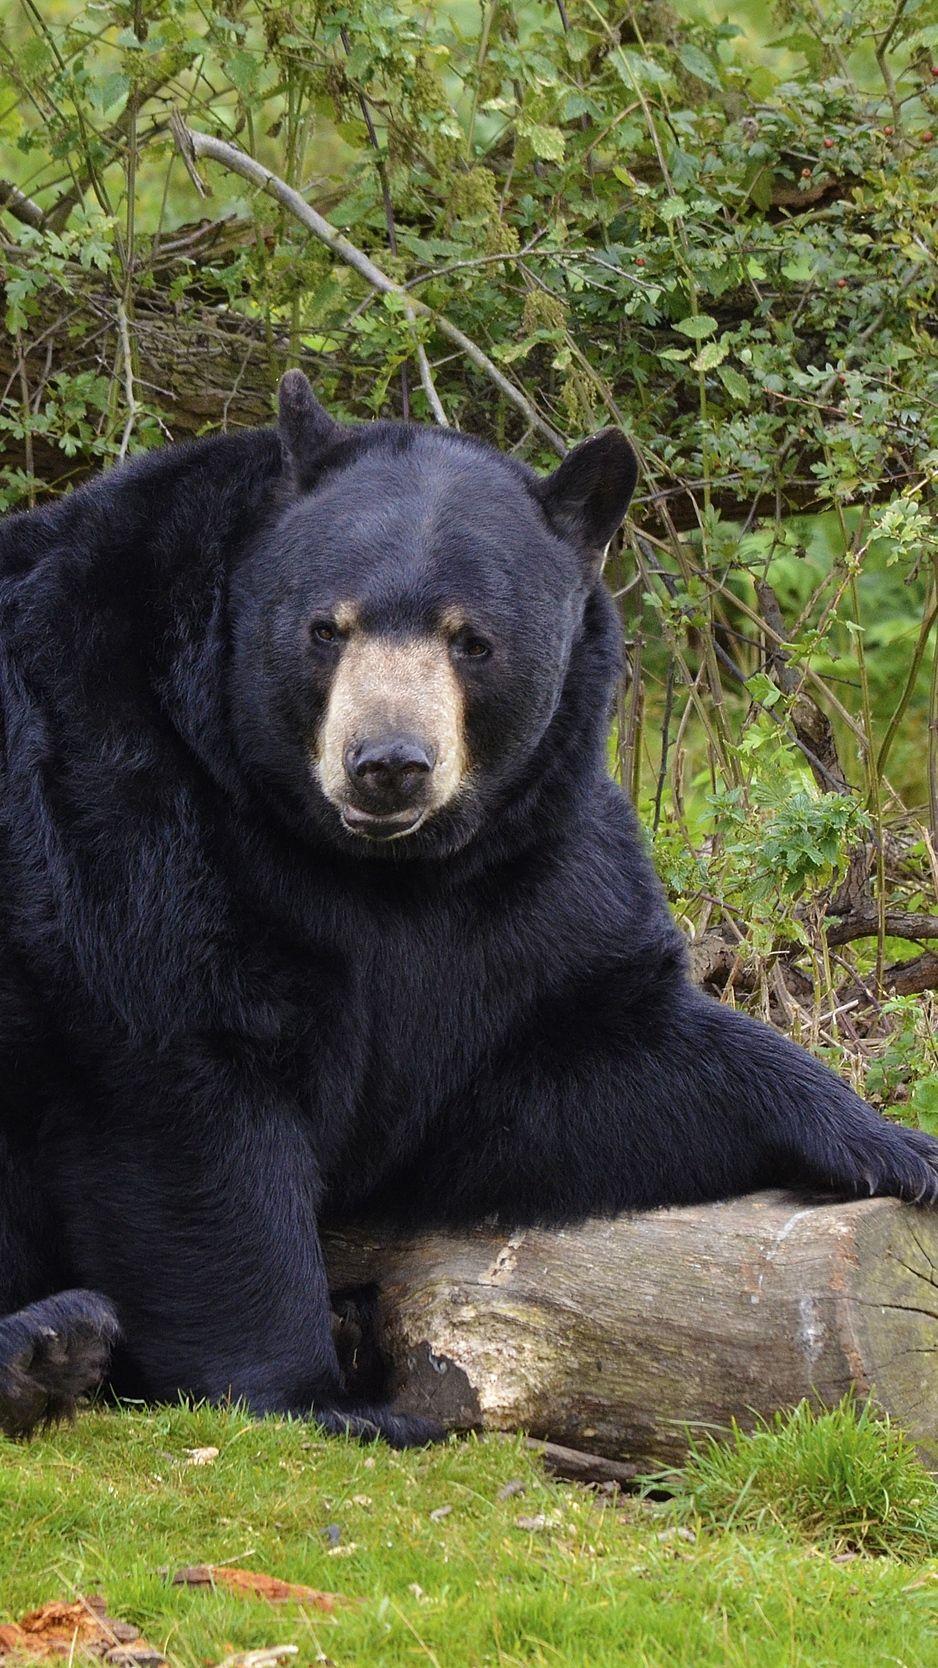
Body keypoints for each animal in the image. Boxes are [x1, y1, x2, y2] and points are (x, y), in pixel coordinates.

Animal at [0, 369, 935, 1446]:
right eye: (325, 627)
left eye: (472, 640)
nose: (387, 764)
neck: (373, 866)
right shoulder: (116, 791)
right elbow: (184, 1084)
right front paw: (315, 1396)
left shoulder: (519, 877)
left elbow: (568, 1062)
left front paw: (893, 1147)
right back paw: (43, 1347)